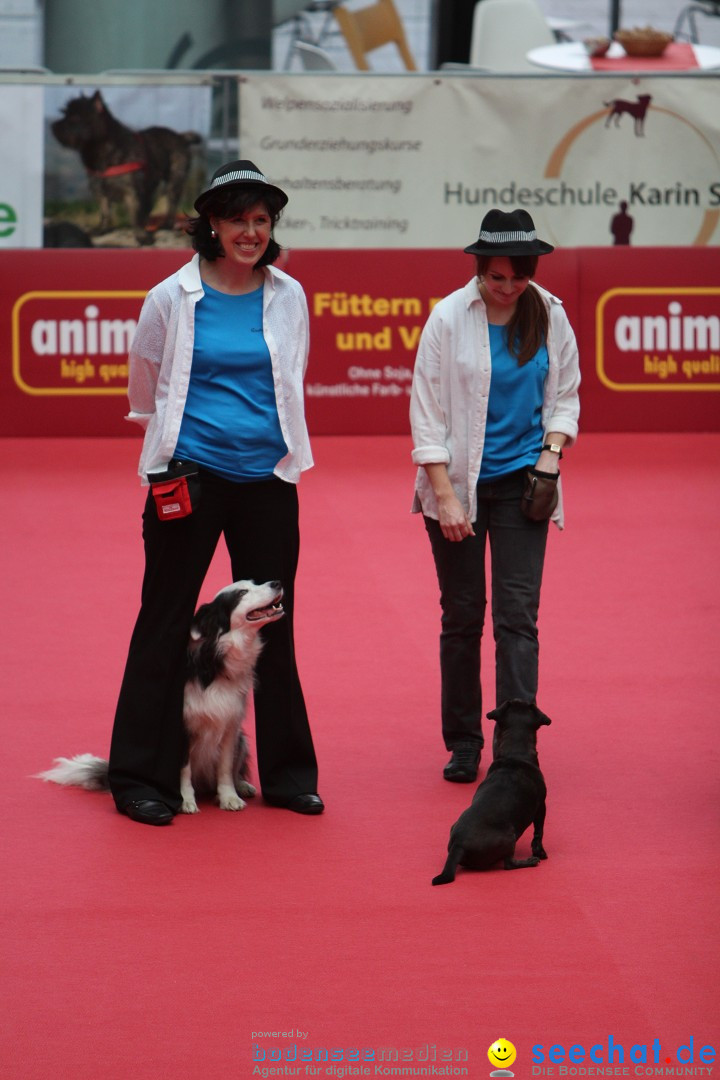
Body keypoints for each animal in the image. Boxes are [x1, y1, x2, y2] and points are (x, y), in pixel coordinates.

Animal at [52, 89, 201, 246]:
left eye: (75, 117)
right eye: (65, 113)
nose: (54, 126)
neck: (100, 148)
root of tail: (181, 136)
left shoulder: (132, 192)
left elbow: (135, 215)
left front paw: (141, 236)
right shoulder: (100, 191)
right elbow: (105, 212)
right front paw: (102, 229)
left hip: (174, 181)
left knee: (171, 204)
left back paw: (166, 225)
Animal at [433, 699, 552, 885]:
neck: (515, 754)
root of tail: (459, 846)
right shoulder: (541, 807)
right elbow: (539, 832)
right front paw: (540, 853)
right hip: (510, 835)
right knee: (508, 864)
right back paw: (530, 861)